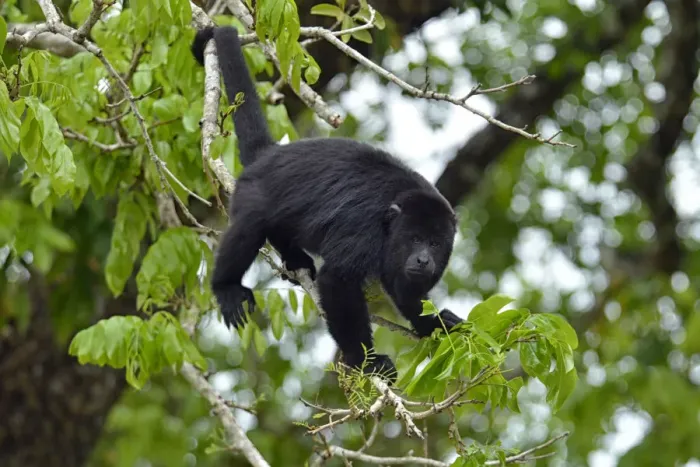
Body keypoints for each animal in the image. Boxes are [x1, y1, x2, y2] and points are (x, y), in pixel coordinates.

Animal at [191, 26, 463, 382]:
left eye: (434, 243)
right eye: (415, 238)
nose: (423, 259)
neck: (393, 219)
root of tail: (270, 155)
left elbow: (406, 291)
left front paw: (434, 324)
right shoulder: (365, 229)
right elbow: (337, 281)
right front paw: (366, 361)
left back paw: (294, 258)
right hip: (251, 193)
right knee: (248, 230)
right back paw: (226, 287)